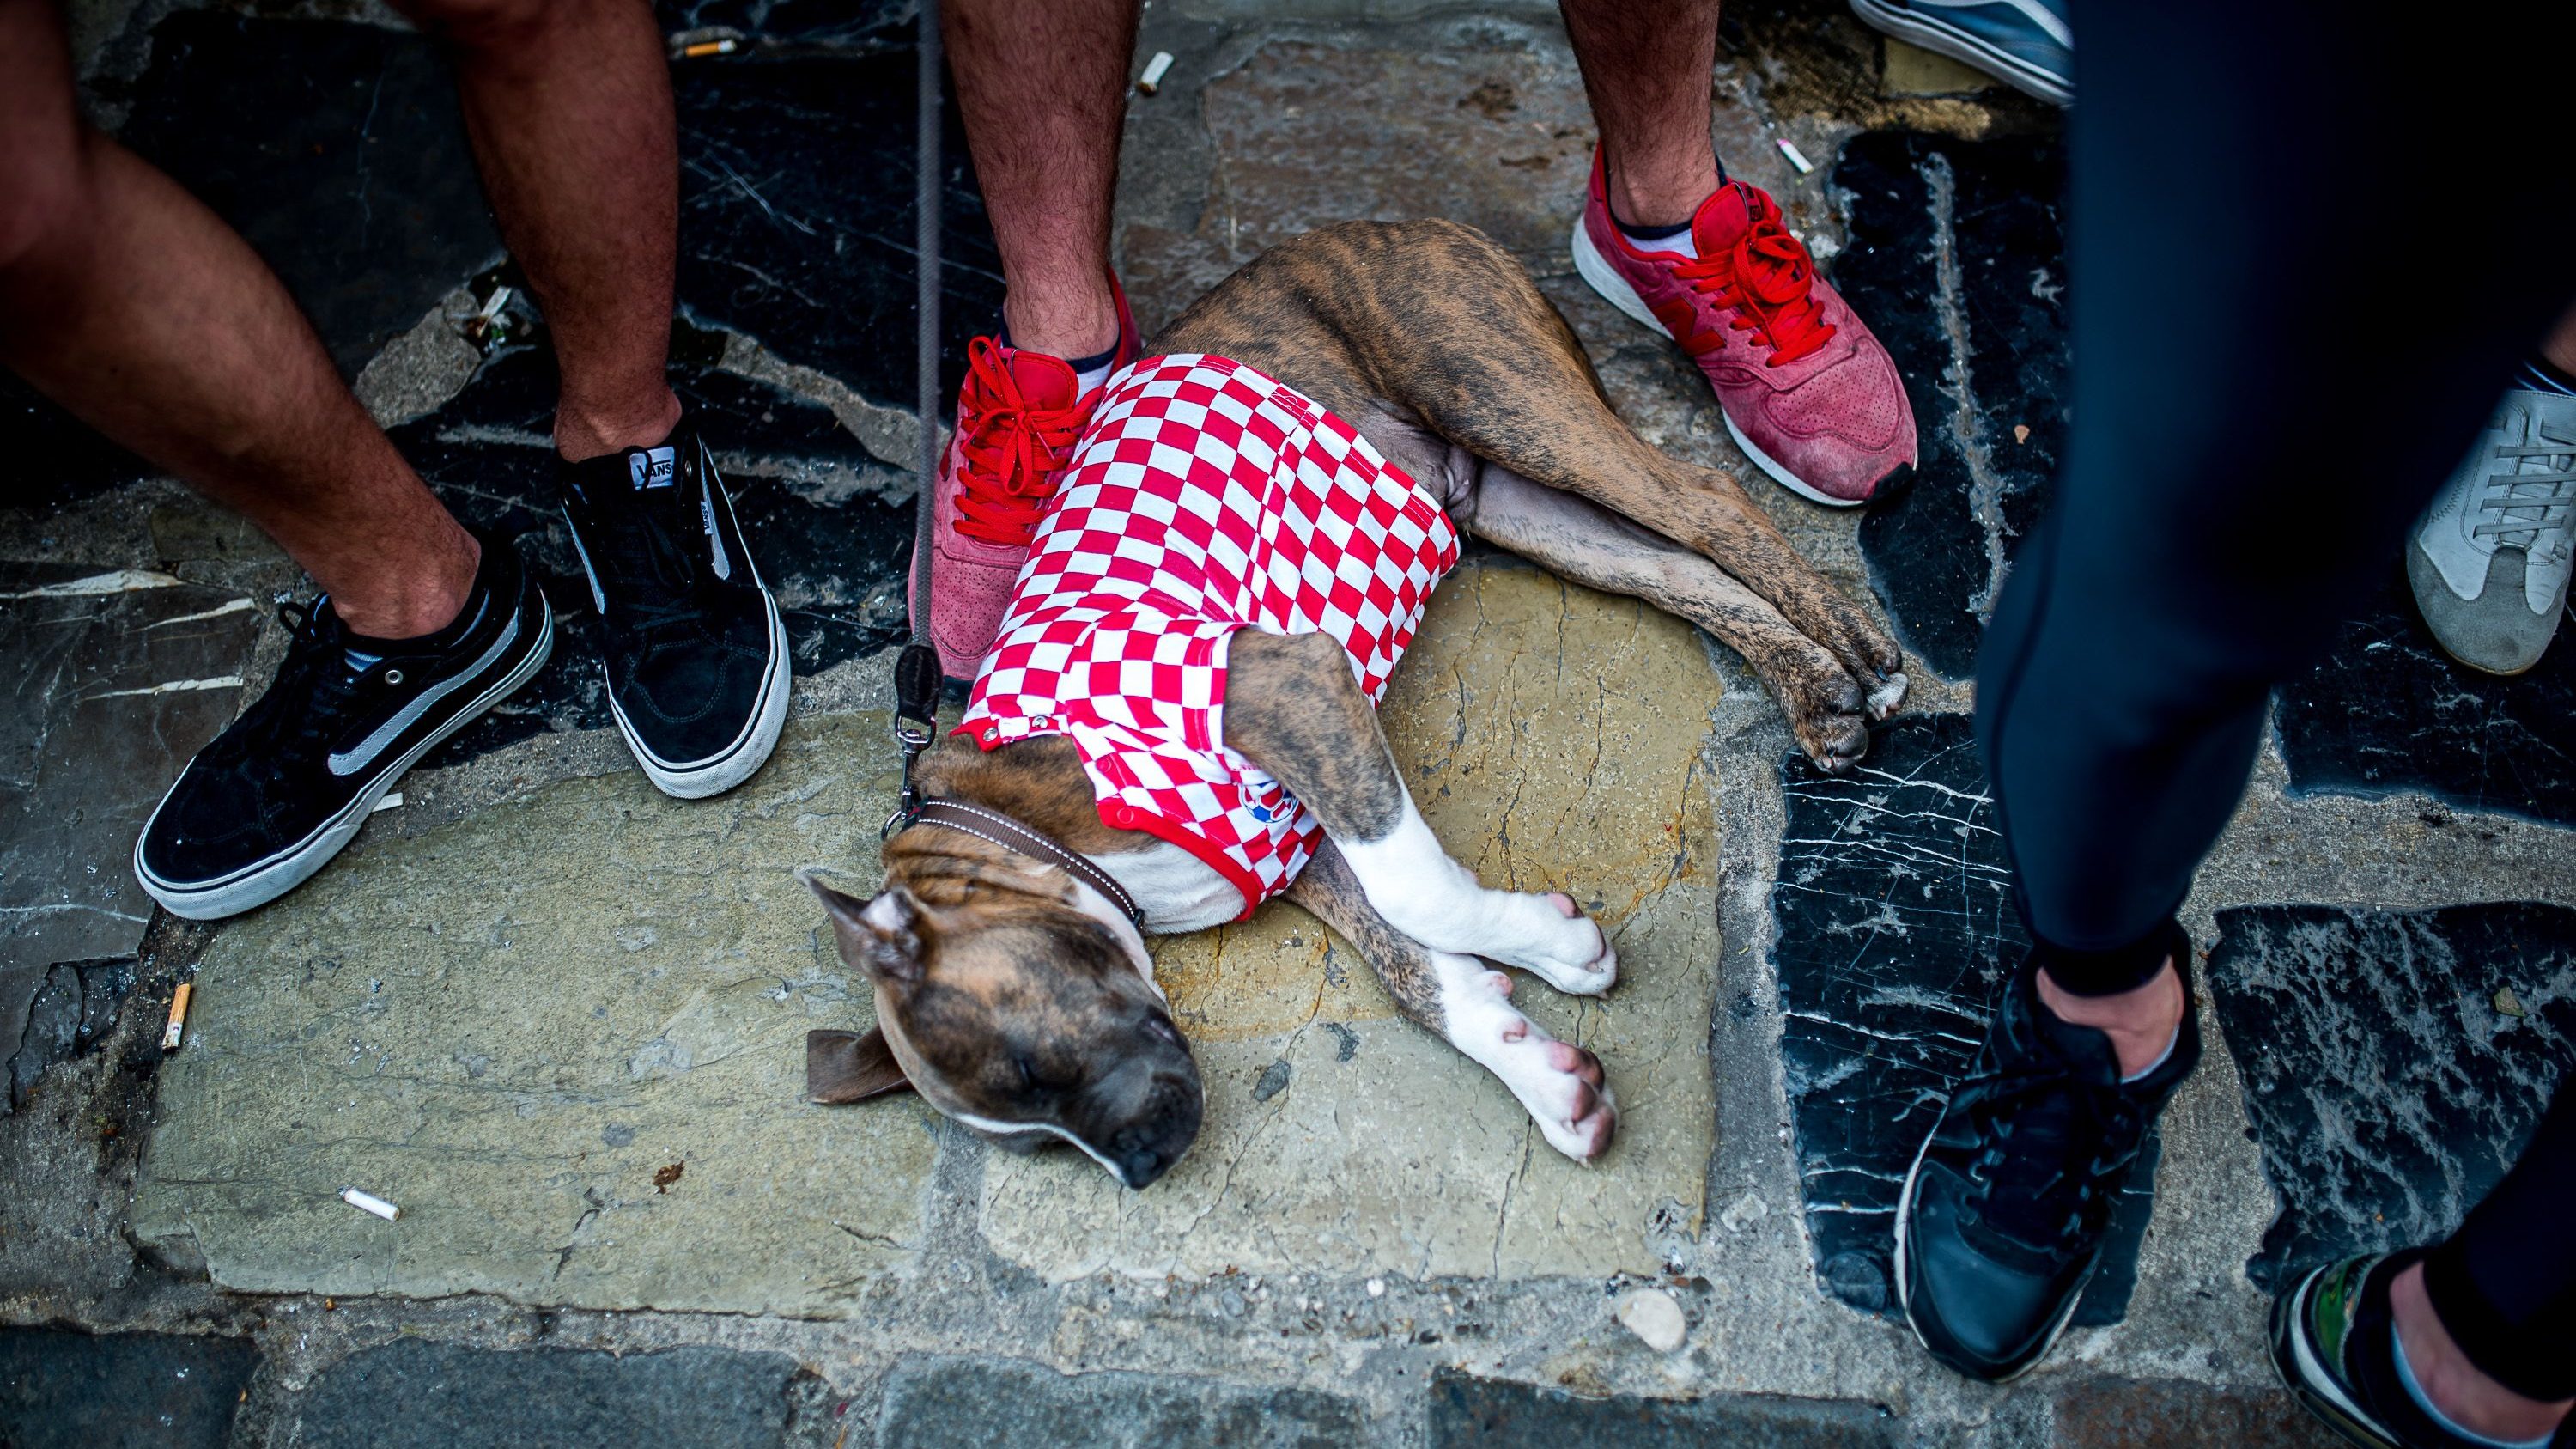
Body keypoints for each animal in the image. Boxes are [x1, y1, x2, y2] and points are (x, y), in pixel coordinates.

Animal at [804, 216, 1917, 1185]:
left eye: (1031, 1066)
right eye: (1035, 1137)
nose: (1146, 1169)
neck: (1021, 827)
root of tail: (1398, 221)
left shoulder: (1289, 685)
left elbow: (1417, 891)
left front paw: (1552, 949)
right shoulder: (1296, 839)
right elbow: (1421, 971)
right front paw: (1545, 1069)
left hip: (1507, 401)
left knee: (1709, 500)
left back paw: (1864, 654)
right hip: (1530, 509)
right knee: (1679, 568)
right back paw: (1816, 687)